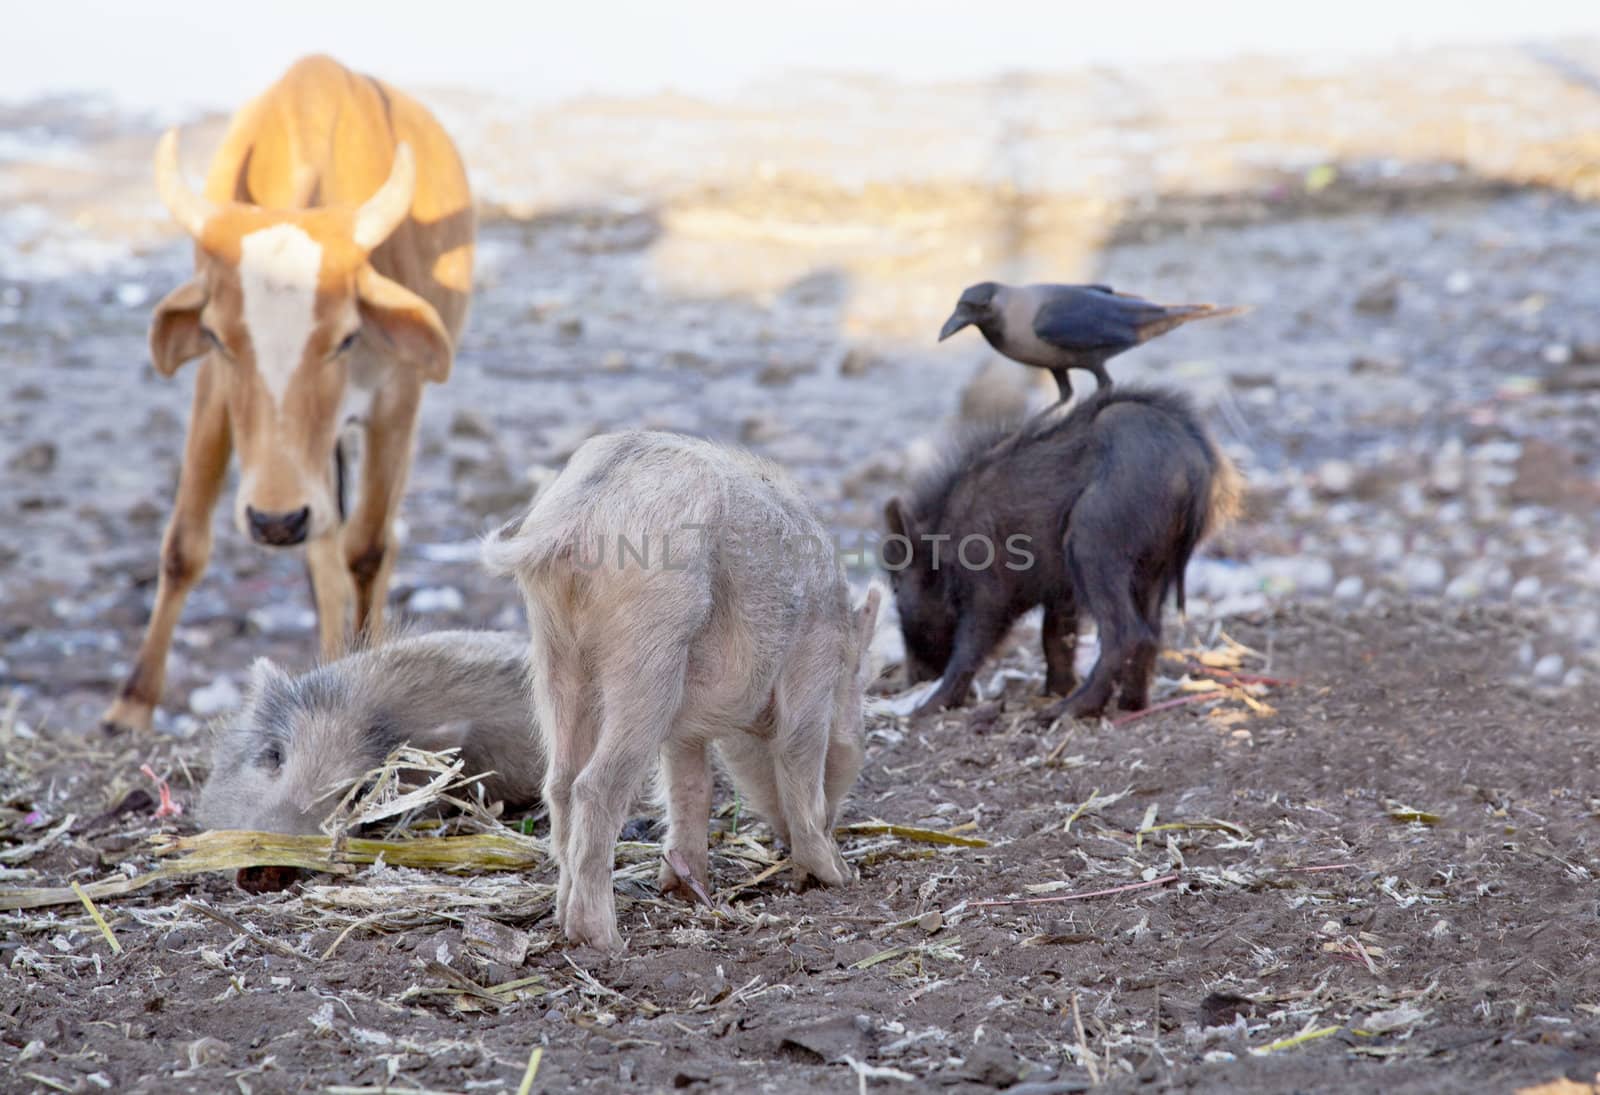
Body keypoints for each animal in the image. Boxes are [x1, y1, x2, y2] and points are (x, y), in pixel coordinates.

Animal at [99, 55, 470, 730]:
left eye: (346, 337)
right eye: (217, 336)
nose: (275, 521)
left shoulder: (397, 400)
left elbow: (368, 548)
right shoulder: (214, 388)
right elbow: (184, 543)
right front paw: (131, 704)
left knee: (363, 542)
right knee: (322, 550)